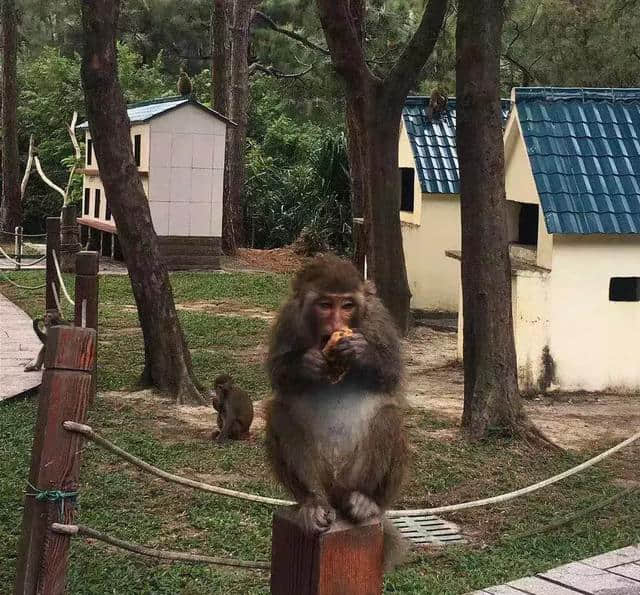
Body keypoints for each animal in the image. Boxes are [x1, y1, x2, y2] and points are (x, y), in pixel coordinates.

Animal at [264, 254, 410, 572]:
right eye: (325, 304)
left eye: (347, 305)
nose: (336, 323)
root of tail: (335, 490)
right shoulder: (288, 318)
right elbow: (278, 375)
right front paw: (307, 363)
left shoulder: (377, 317)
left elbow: (392, 374)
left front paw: (362, 352)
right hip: (321, 477)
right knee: (278, 412)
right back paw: (312, 503)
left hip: (353, 478)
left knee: (388, 416)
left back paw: (365, 502)